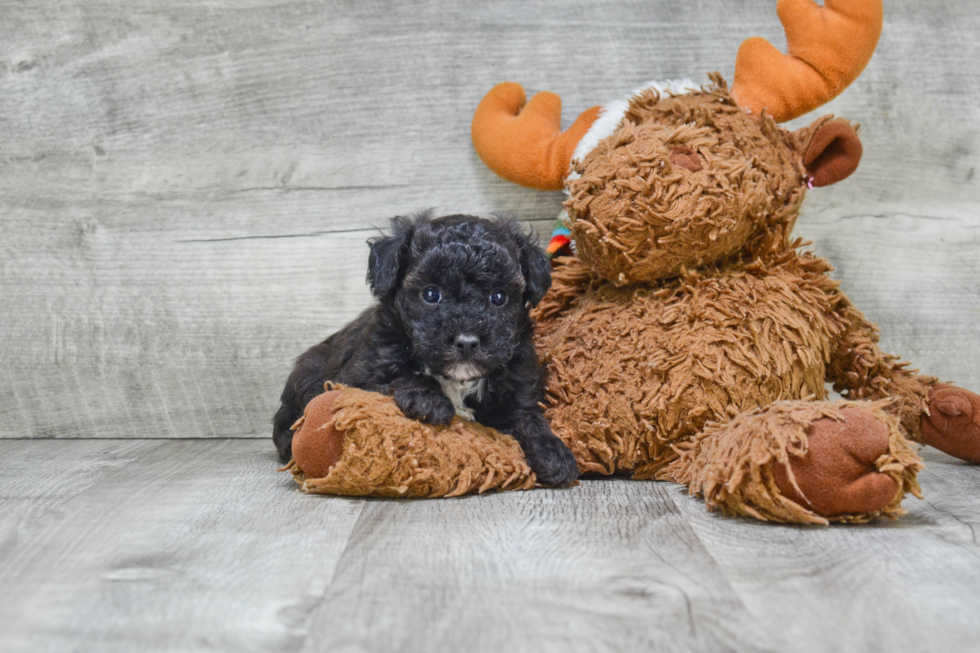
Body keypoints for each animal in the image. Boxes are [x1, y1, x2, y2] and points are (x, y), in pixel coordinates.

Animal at [274, 211, 580, 486]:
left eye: (498, 297)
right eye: (431, 294)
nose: (467, 340)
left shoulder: (518, 379)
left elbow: (527, 417)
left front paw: (554, 453)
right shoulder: (361, 374)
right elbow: (398, 377)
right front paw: (429, 401)